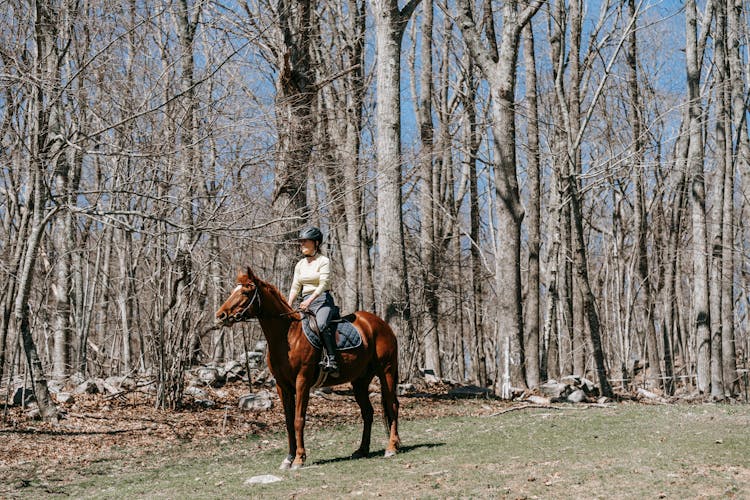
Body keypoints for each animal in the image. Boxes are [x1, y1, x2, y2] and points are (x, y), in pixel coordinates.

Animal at [214, 270, 402, 468]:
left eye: (245, 292)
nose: (221, 315)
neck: (287, 335)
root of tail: (381, 324)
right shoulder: (282, 386)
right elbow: (289, 422)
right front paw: (288, 458)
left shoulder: (302, 381)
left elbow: (298, 420)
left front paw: (299, 458)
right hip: (359, 382)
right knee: (368, 412)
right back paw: (362, 450)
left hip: (386, 372)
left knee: (392, 405)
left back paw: (391, 447)